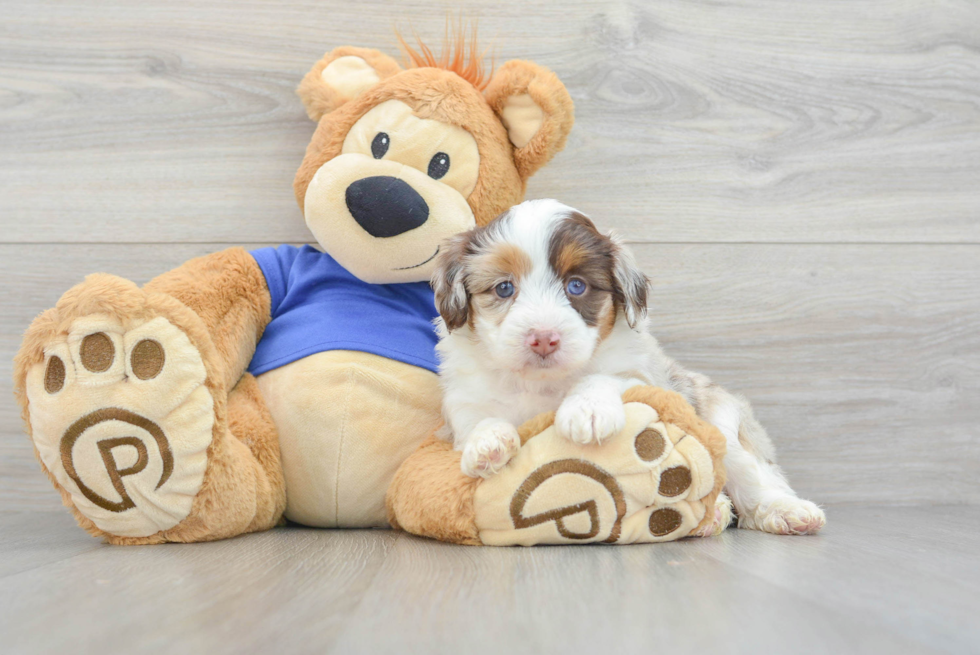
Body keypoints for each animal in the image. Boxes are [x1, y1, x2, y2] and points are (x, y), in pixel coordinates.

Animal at [432, 197, 824, 536]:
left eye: (576, 286)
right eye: (503, 288)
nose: (543, 339)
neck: (543, 383)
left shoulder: (643, 377)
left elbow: (603, 377)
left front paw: (587, 410)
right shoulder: (465, 399)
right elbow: (480, 418)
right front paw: (487, 443)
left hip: (724, 428)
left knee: (752, 480)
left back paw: (785, 511)